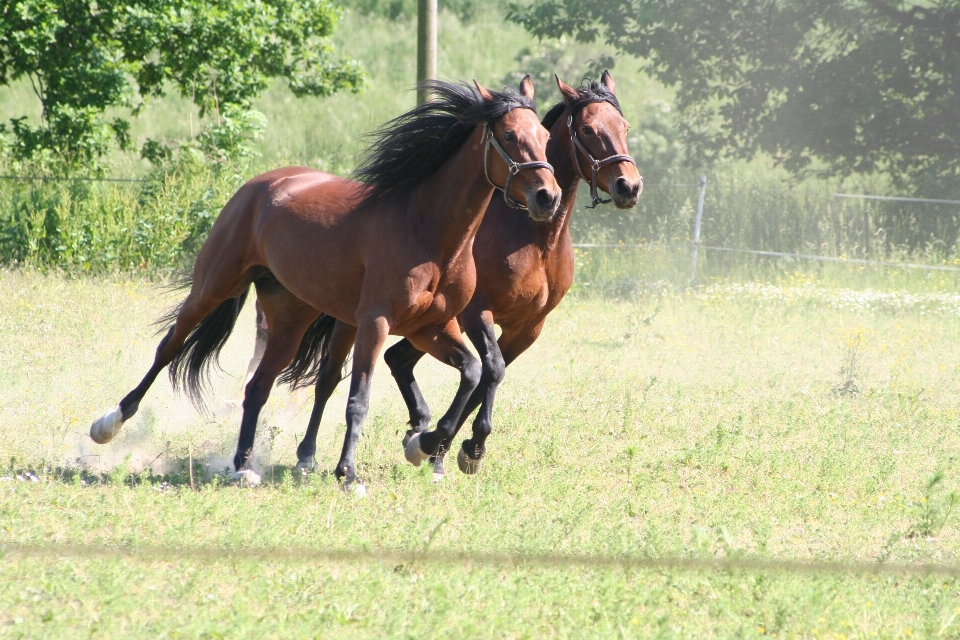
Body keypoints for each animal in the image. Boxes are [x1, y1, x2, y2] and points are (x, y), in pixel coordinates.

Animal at [88, 77, 564, 488]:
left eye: (544, 135)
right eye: (508, 135)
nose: (548, 197)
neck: (429, 232)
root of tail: (263, 184)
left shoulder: (432, 328)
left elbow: (472, 372)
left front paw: (423, 444)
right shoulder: (377, 323)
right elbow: (359, 399)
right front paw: (350, 475)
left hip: (289, 318)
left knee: (258, 386)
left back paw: (243, 466)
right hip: (213, 287)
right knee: (170, 346)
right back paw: (108, 424)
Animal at [270, 72, 640, 478]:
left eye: (624, 126)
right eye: (588, 129)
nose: (629, 186)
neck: (535, 238)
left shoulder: (527, 328)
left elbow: (487, 377)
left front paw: (447, 449)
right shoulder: (477, 313)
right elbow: (491, 370)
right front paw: (462, 448)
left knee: (397, 359)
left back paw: (418, 428)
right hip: (359, 320)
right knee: (331, 377)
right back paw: (309, 455)